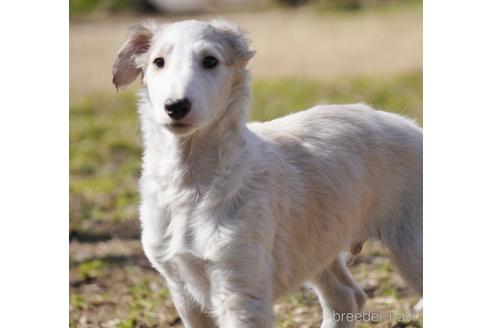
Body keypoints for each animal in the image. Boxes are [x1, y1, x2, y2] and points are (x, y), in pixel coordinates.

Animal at [112, 19, 422, 326]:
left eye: (210, 61)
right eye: (158, 62)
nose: (176, 106)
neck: (191, 184)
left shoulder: (240, 288)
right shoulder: (184, 292)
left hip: (411, 247)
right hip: (317, 244)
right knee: (346, 296)